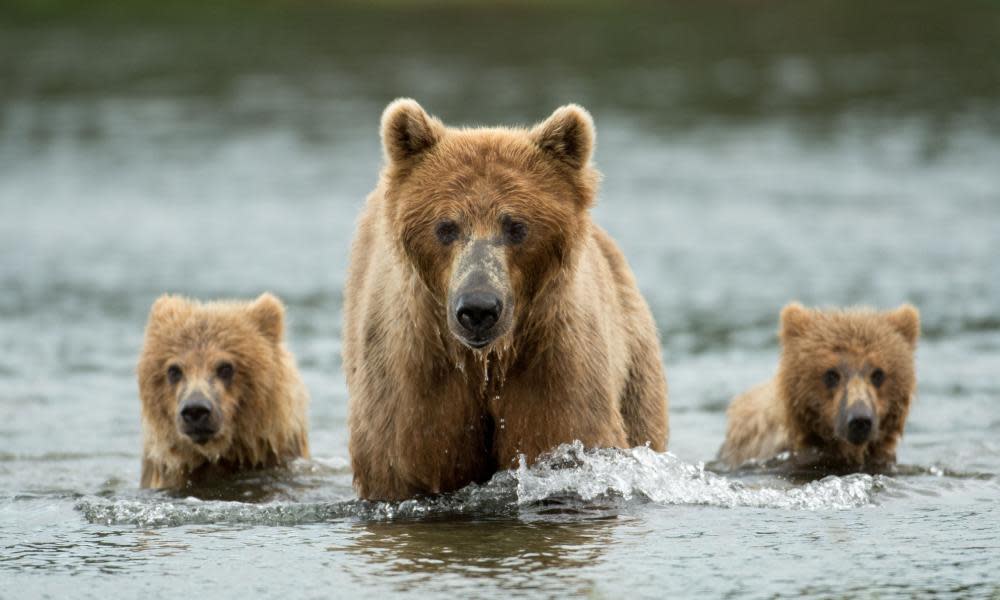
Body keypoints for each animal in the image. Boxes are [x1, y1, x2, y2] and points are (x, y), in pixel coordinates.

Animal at [340, 99, 668, 502]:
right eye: (446, 226)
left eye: (516, 226)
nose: (478, 309)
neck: (486, 362)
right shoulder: (415, 380)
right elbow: (405, 461)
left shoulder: (552, 364)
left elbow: (565, 438)